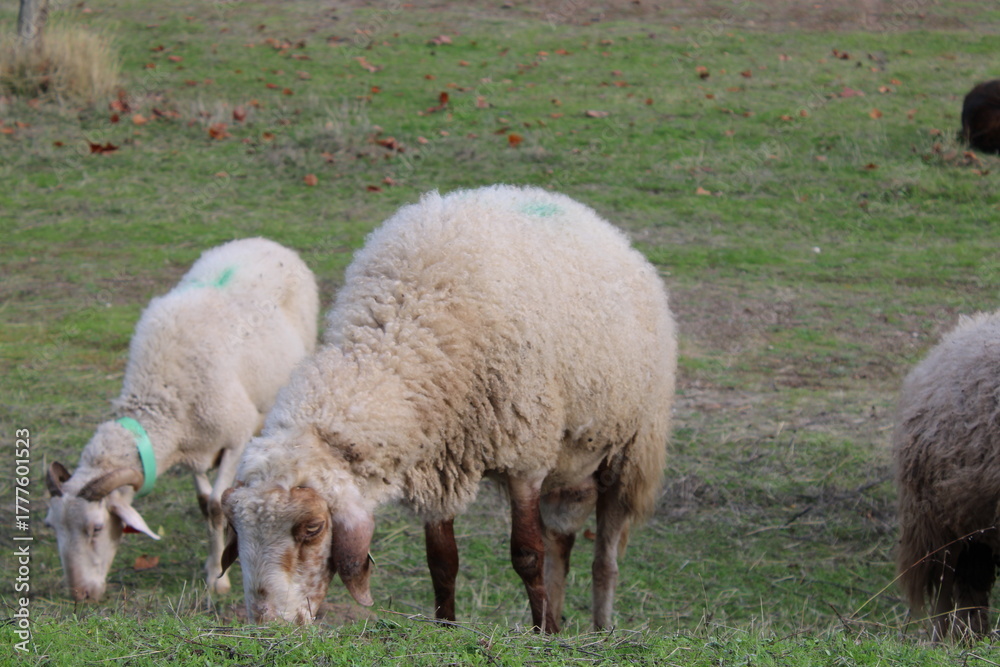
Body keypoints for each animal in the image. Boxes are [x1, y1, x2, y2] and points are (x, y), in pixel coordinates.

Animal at [45, 237, 319, 601]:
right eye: (52, 526)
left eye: (96, 528)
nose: (79, 595)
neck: (162, 394)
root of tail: (263, 241)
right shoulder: (194, 448)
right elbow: (204, 504)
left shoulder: (235, 437)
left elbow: (216, 506)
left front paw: (218, 578)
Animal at [221, 184, 677, 632]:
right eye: (237, 529)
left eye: (313, 529)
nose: (269, 625)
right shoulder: (438, 460)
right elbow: (442, 562)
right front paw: (448, 628)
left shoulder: (526, 455)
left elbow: (528, 556)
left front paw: (538, 633)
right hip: (569, 465)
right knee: (561, 540)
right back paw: (558, 627)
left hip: (629, 453)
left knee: (604, 559)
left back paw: (599, 630)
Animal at [894, 311, 1000, 639]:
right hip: (935, 525)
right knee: (947, 589)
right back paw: (946, 640)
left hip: (973, 525)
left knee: (970, 586)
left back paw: (971, 637)